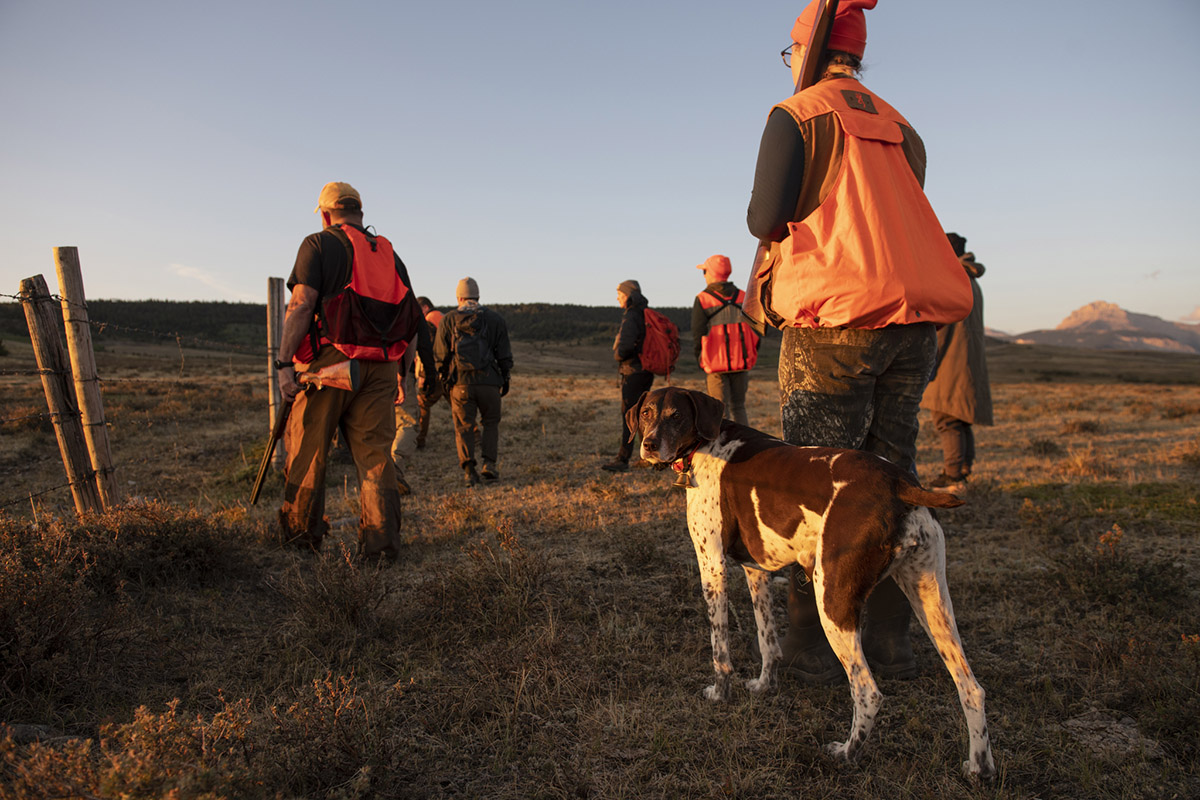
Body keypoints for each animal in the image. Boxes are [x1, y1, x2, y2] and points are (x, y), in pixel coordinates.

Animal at [628, 383, 993, 777]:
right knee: (971, 687)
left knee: (868, 691)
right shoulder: (756, 570)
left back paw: (847, 753)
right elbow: (767, 640)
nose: (649, 444)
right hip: (931, 601)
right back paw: (979, 767)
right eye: (646, 413)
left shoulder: (712, 564)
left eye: (677, 416)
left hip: (833, 600)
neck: (706, 444)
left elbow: (719, 648)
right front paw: (764, 686)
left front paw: (720, 694)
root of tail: (900, 484)